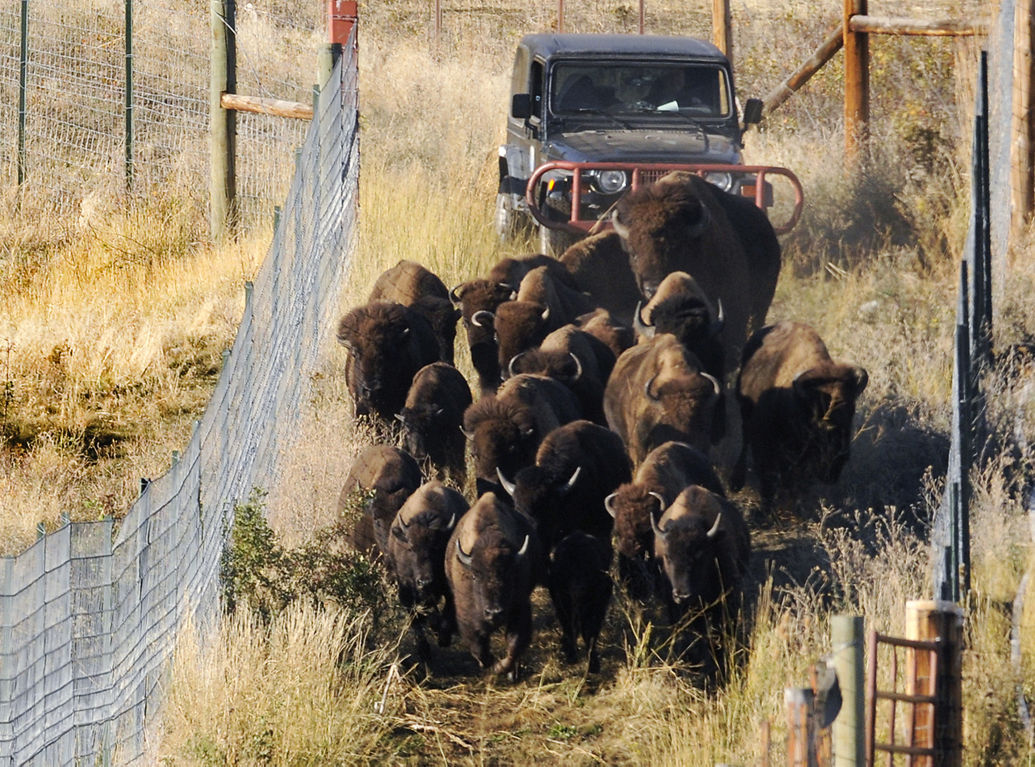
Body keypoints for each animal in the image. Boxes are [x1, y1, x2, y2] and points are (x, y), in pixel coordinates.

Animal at [445, 492, 543, 680]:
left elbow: (514, 646)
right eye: (475, 575)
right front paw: (490, 666)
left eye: (509, 573)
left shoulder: (520, 608)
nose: (494, 613)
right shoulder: (468, 617)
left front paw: (505, 670)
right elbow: (480, 649)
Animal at [732, 320, 869, 512]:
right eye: (819, 413)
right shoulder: (765, 445)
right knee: (745, 441)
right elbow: (768, 481)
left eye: (851, 410)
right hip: (746, 413)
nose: (839, 459)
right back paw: (736, 483)